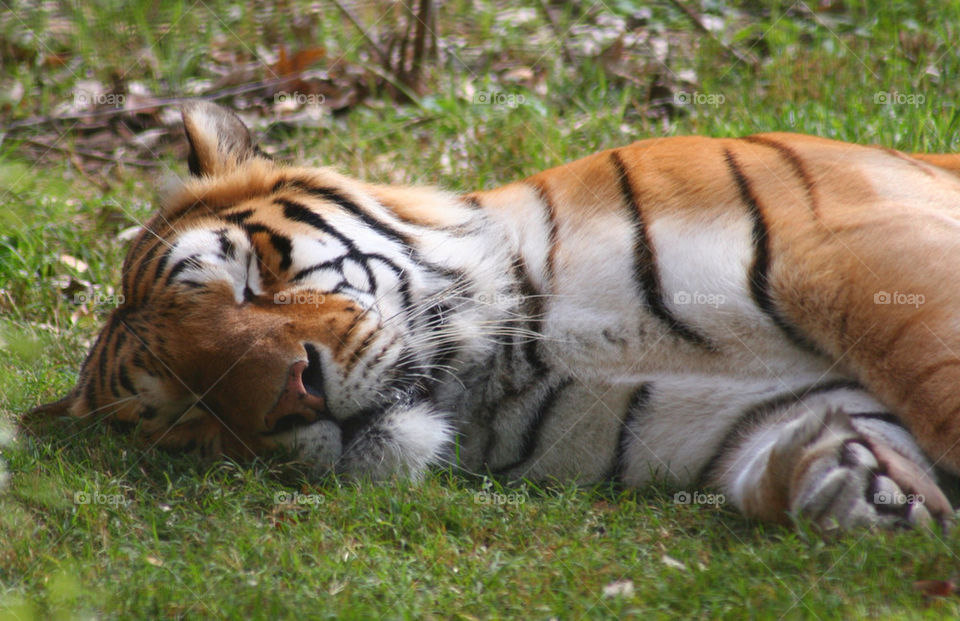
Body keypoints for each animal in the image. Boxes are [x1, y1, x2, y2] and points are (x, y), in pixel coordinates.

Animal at [30, 99, 960, 532]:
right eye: (189, 411)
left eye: (253, 274)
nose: (295, 395)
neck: (516, 363)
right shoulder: (748, 416)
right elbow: (833, 449)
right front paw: (846, 485)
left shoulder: (856, 240)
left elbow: (937, 383)